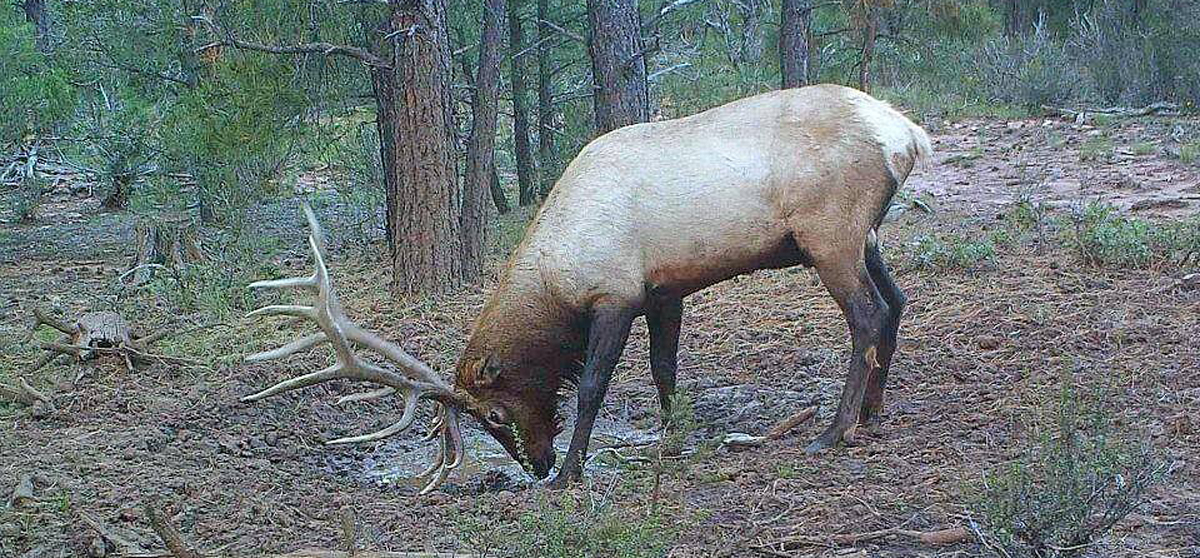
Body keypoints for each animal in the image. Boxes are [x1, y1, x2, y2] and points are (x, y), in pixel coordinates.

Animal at [242, 84, 932, 492]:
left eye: (493, 414)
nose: (535, 464)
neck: (557, 274)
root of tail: (907, 135)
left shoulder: (614, 294)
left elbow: (595, 385)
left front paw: (572, 472)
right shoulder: (663, 291)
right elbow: (663, 367)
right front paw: (671, 439)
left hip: (831, 232)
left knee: (867, 315)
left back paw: (835, 430)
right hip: (865, 235)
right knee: (896, 304)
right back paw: (872, 412)